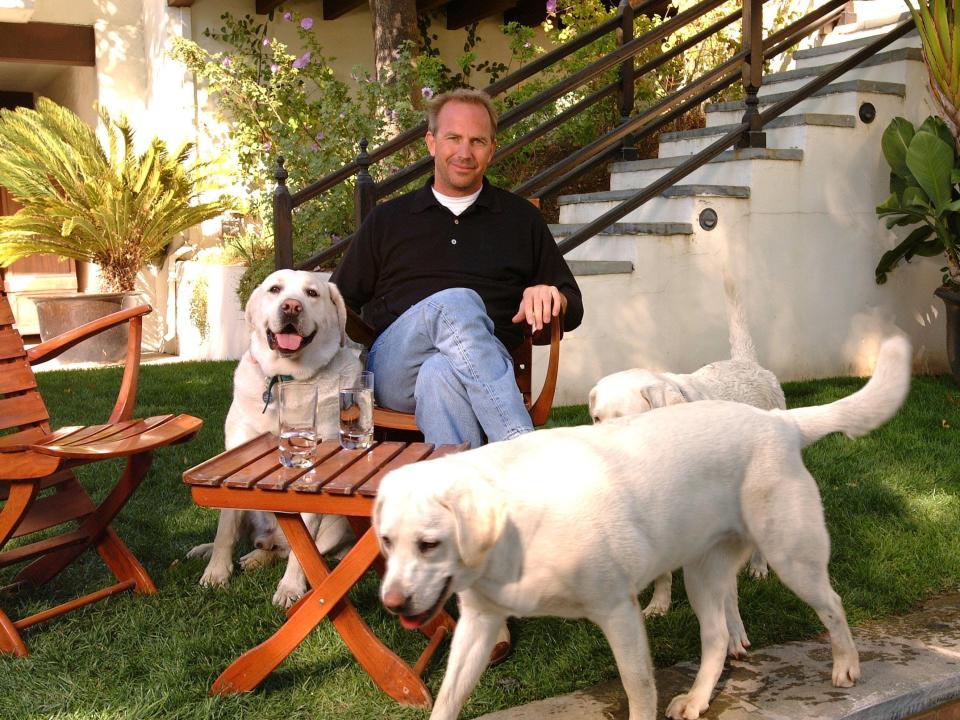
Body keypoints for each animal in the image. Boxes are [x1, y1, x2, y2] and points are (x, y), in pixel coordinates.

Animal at [188, 270, 364, 608]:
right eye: (275, 289)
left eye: (312, 293)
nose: (292, 307)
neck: (285, 381)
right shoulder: (236, 462)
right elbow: (225, 530)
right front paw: (216, 573)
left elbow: (301, 554)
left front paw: (290, 588)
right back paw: (211, 551)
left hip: (334, 528)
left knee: (288, 550)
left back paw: (256, 559)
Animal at [372, 336, 912, 720]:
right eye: (386, 542)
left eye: (429, 544)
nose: (392, 603)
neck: (517, 527)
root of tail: (780, 422)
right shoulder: (478, 624)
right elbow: (447, 699)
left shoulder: (618, 612)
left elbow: (638, 690)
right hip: (703, 573)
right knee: (717, 636)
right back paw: (697, 698)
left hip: (791, 556)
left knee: (832, 604)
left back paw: (846, 665)